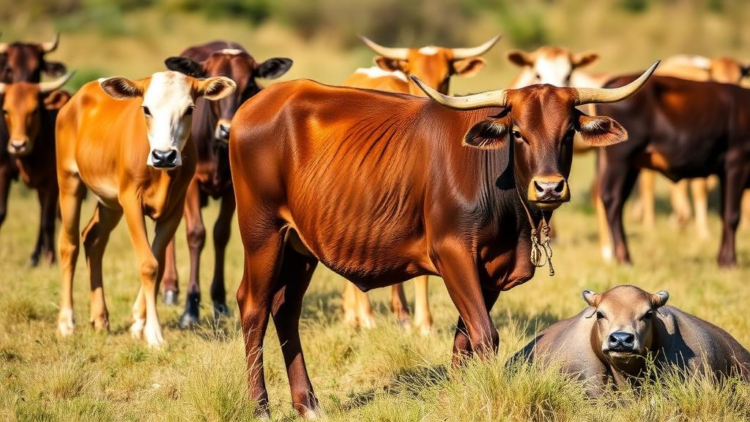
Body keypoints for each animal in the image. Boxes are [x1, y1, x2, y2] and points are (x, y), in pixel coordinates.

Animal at [0, 34, 68, 265]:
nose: (18, 145)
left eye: (35, 110)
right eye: (6, 110)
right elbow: (1, 212)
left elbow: (48, 220)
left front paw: (51, 259)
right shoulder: (3, 169)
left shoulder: (52, 181)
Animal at [55, 71, 235, 346]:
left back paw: (100, 318)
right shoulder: (131, 200)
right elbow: (148, 264)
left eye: (189, 109)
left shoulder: (175, 208)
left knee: (93, 239)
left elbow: (157, 262)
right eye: (146, 109)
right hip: (69, 180)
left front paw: (139, 323)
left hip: (110, 202)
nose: (164, 156)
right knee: (69, 244)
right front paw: (154, 334)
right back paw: (66, 322)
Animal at [159, 41, 292, 327]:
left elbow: (221, 234)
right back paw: (170, 288)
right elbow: (196, 234)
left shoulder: (234, 187)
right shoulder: (191, 185)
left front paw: (219, 301)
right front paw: (191, 308)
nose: (226, 129)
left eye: (250, 85)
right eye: (211, 87)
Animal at [596, 74, 750, 268]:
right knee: (612, 198)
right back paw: (624, 258)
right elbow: (732, 215)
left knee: (617, 200)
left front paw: (721, 259)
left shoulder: (724, 172)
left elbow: (725, 213)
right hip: (620, 158)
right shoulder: (737, 163)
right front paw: (729, 262)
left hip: (631, 164)